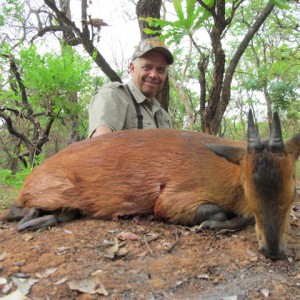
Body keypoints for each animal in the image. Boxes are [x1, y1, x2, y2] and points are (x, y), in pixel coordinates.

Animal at [1, 110, 298, 258]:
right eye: (248, 189)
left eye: (293, 193)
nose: (273, 251)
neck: (228, 174)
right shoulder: (169, 200)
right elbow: (220, 213)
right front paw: (212, 225)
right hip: (56, 191)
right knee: (20, 213)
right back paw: (32, 218)